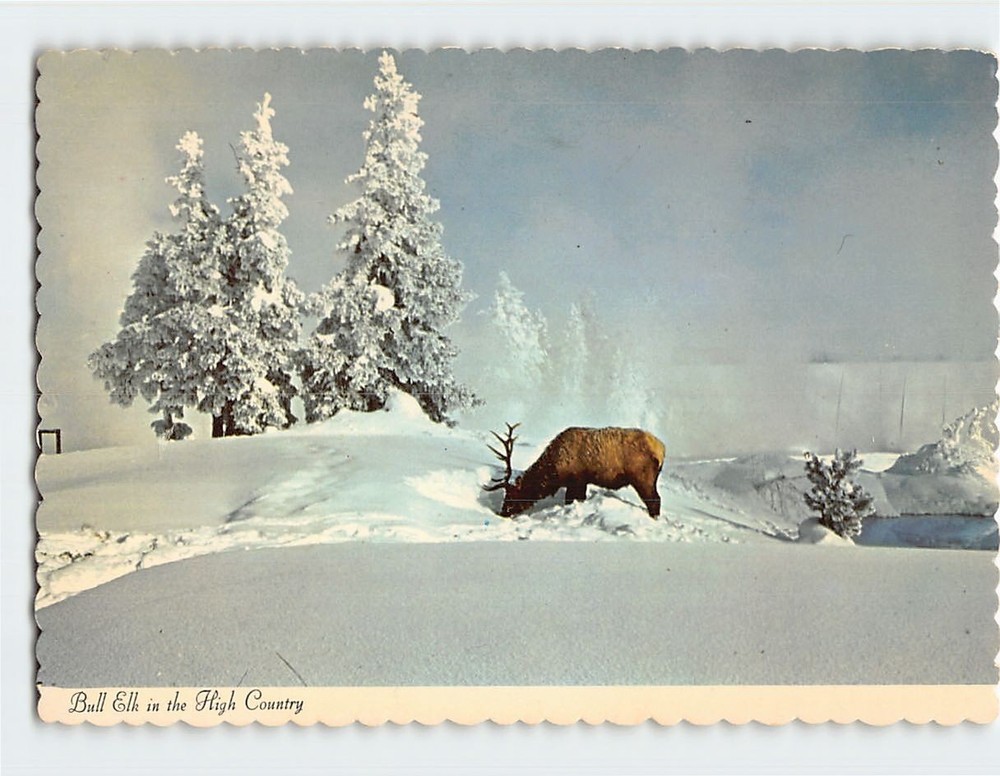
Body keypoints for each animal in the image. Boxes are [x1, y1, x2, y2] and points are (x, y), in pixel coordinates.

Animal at [483, 423, 666, 518]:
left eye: (511, 495)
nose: (502, 512)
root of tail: (661, 449)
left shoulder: (576, 480)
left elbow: (571, 500)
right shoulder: (581, 482)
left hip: (643, 477)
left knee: (655, 500)